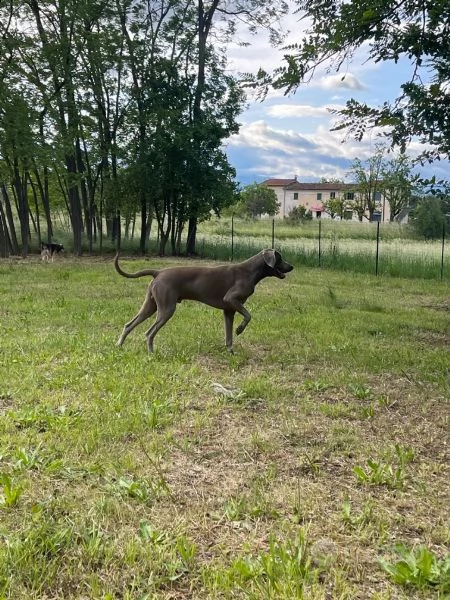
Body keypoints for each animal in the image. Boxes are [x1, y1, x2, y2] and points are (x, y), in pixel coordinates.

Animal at [114, 247, 294, 352]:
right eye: (280, 258)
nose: (291, 266)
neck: (250, 271)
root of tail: (158, 272)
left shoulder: (228, 310)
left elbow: (228, 335)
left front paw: (230, 351)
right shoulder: (231, 300)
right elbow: (248, 316)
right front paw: (239, 330)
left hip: (151, 305)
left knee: (129, 324)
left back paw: (119, 345)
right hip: (166, 308)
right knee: (149, 332)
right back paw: (151, 353)